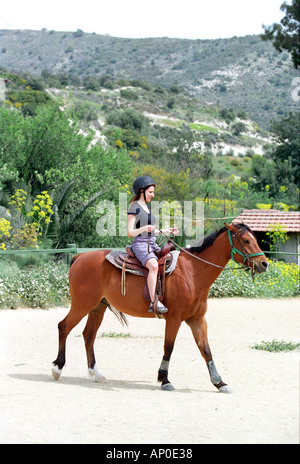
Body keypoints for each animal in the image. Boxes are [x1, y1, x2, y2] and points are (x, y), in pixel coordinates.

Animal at [52, 223, 268, 394]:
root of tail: (80, 257)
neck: (192, 273)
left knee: (89, 335)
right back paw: (57, 368)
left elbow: (206, 349)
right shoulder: (174, 318)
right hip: (82, 305)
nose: (264, 263)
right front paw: (164, 379)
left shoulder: (197, 320)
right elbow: (169, 347)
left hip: (98, 308)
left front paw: (219, 382)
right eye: (246, 241)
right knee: (64, 327)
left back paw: (95, 373)